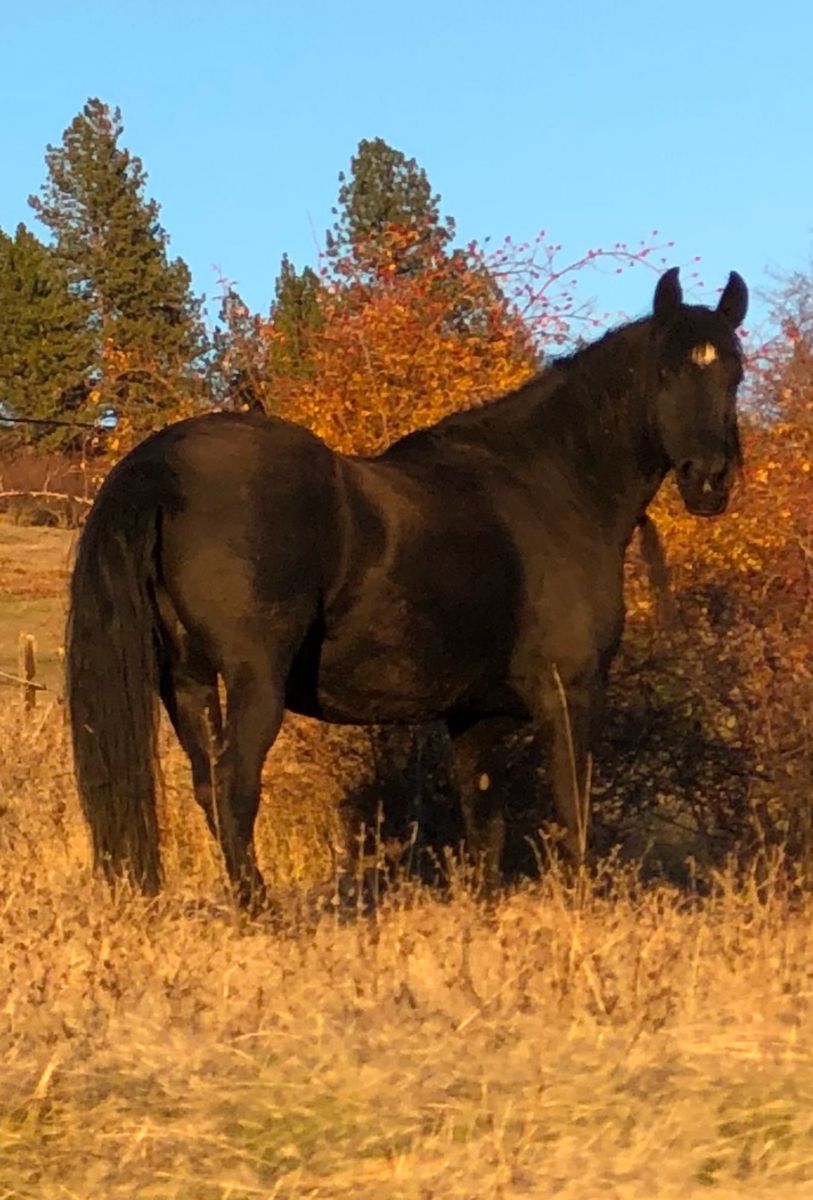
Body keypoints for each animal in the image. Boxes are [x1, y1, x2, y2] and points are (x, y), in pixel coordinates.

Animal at [66, 266, 748, 905]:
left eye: (735, 375)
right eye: (667, 373)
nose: (711, 480)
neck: (550, 487)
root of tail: (163, 462)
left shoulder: (476, 717)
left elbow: (485, 825)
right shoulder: (569, 694)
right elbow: (573, 814)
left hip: (185, 680)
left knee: (209, 784)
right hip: (253, 681)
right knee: (234, 786)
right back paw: (261, 911)